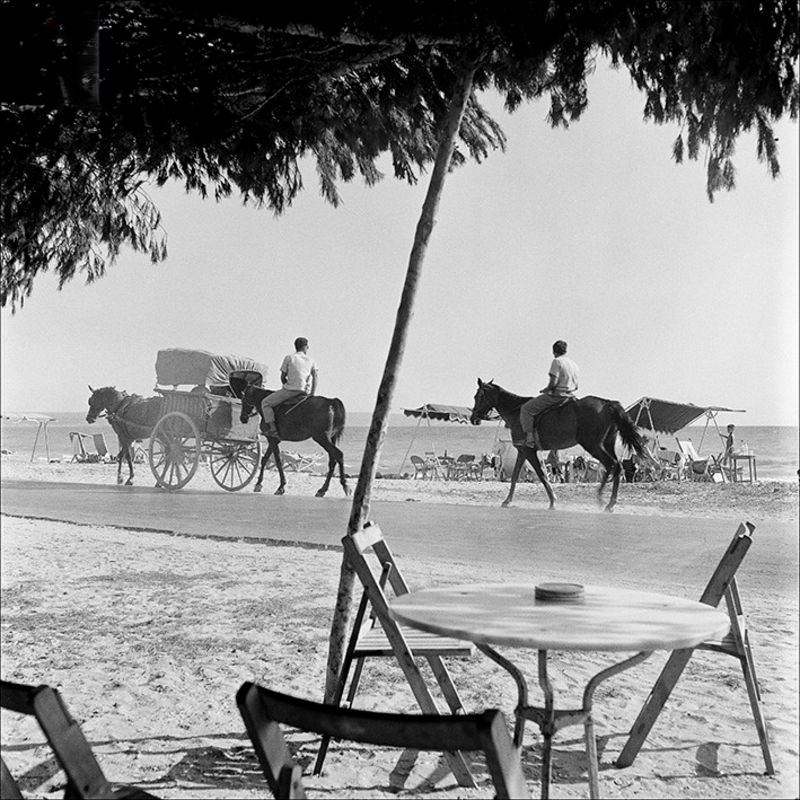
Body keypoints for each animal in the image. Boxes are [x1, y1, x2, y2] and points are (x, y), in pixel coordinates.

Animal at [472, 376, 648, 512]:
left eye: (478, 396)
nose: (473, 418)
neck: (517, 411)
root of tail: (607, 404)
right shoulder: (523, 451)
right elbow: (515, 475)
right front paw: (507, 501)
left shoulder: (529, 451)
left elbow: (542, 474)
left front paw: (553, 501)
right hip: (607, 444)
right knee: (617, 466)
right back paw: (610, 503)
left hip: (592, 445)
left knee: (612, 465)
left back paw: (602, 498)